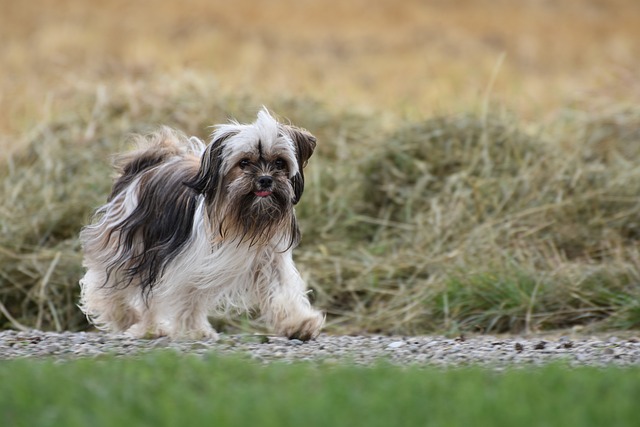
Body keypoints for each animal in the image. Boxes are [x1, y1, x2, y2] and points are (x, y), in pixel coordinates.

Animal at [79, 109, 324, 342]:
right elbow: (189, 296)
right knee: (108, 284)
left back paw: (150, 328)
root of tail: (148, 164)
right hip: (128, 245)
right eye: (244, 162)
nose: (265, 179)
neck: (246, 218)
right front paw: (193, 330)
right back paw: (127, 317)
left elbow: (281, 289)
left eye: (280, 162)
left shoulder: (269, 257)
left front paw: (299, 323)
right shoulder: (186, 263)